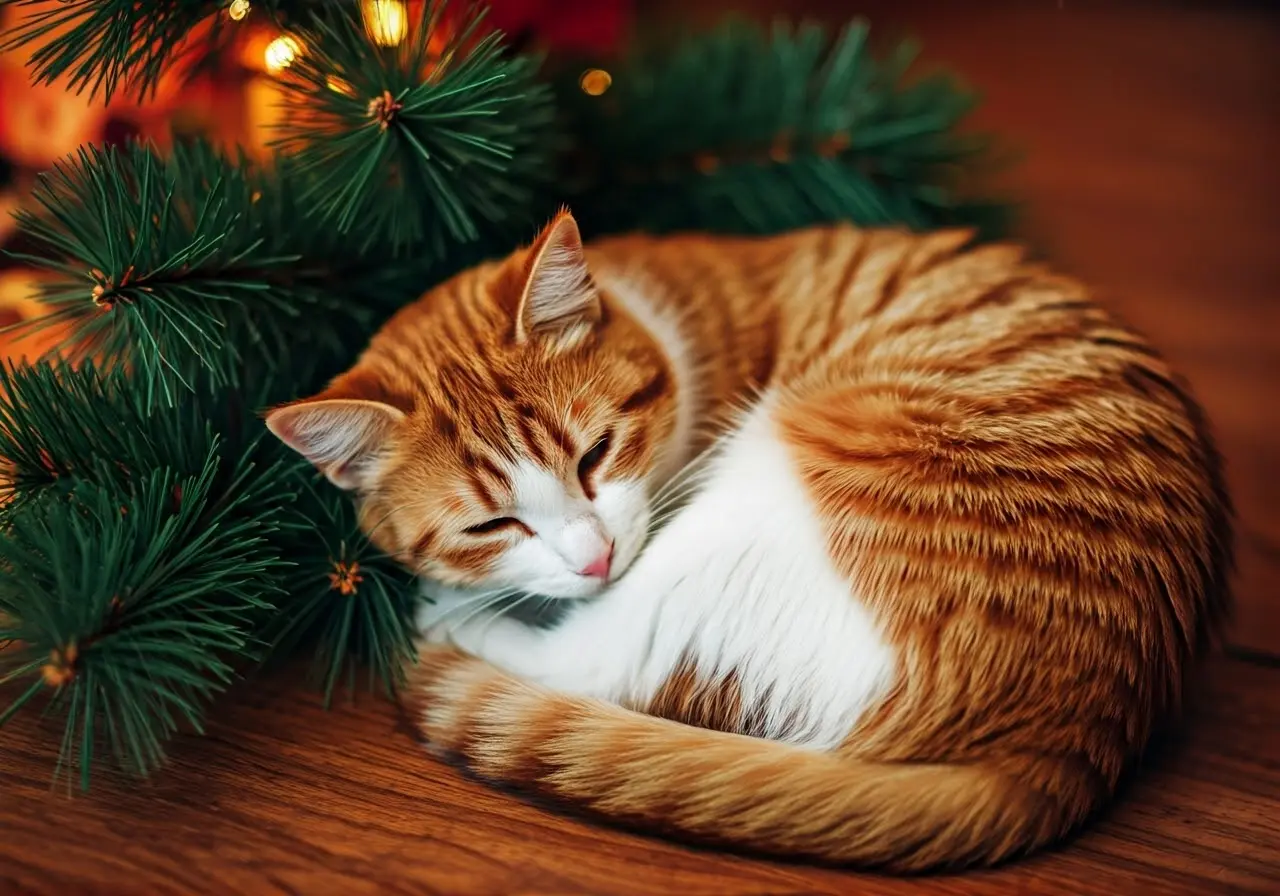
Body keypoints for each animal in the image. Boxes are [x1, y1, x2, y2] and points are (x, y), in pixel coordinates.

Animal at [264, 208, 1233, 870]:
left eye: (597, 454)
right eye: (491, 524)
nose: (595, 558)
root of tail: (1075, 737)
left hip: (766, 489)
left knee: (604, 661)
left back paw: (445, 620)